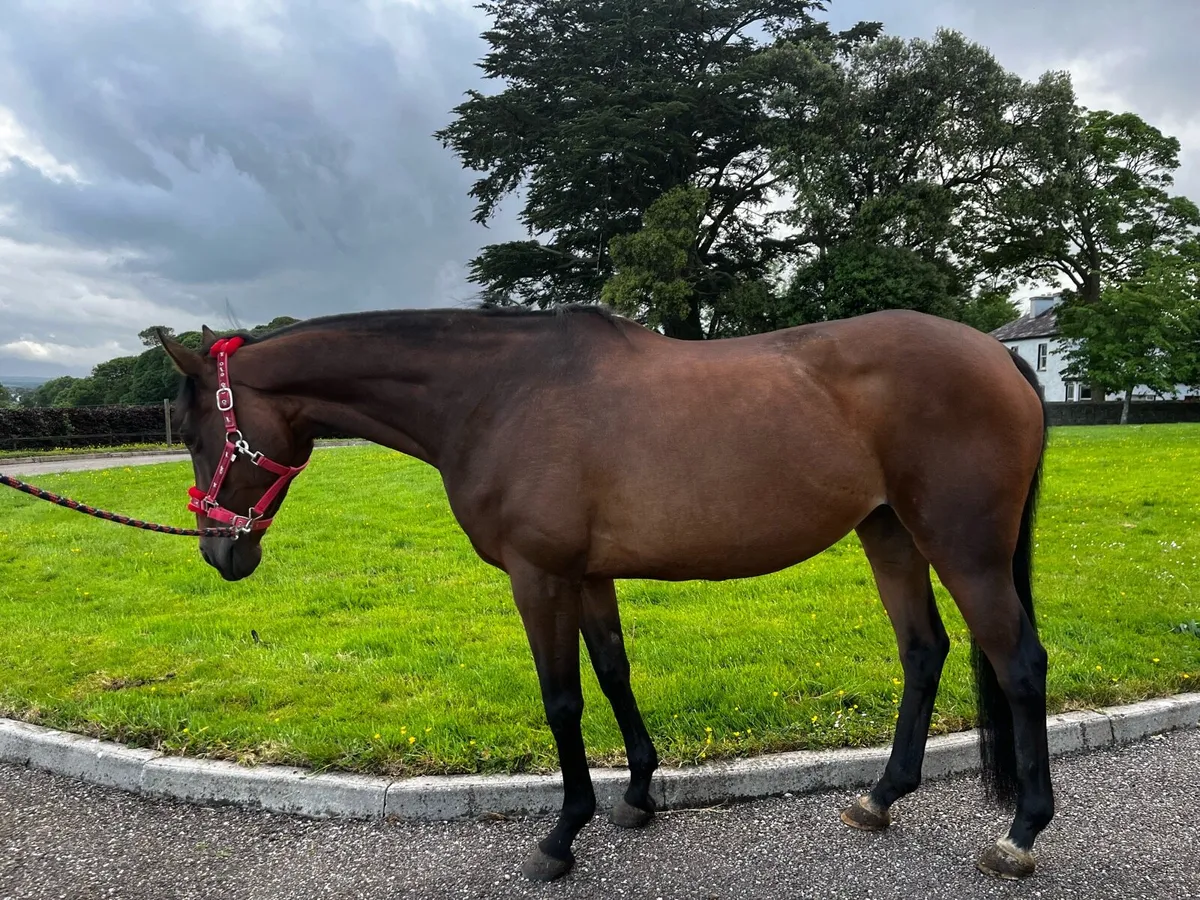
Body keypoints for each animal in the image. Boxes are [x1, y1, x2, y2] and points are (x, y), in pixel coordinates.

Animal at [159, 304, 1052, 882]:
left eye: (200, 432)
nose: (220, 551)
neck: (495, 393)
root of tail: (1000, 355)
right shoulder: (587, 575)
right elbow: (615, 672)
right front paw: (638, 794)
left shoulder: (539, 576)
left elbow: (562, 699)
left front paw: (562, 835)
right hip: (889, 532)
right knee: (924, 651)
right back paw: (879, 798)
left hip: (964, 547)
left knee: (1019, 664)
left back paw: (1020, 835)